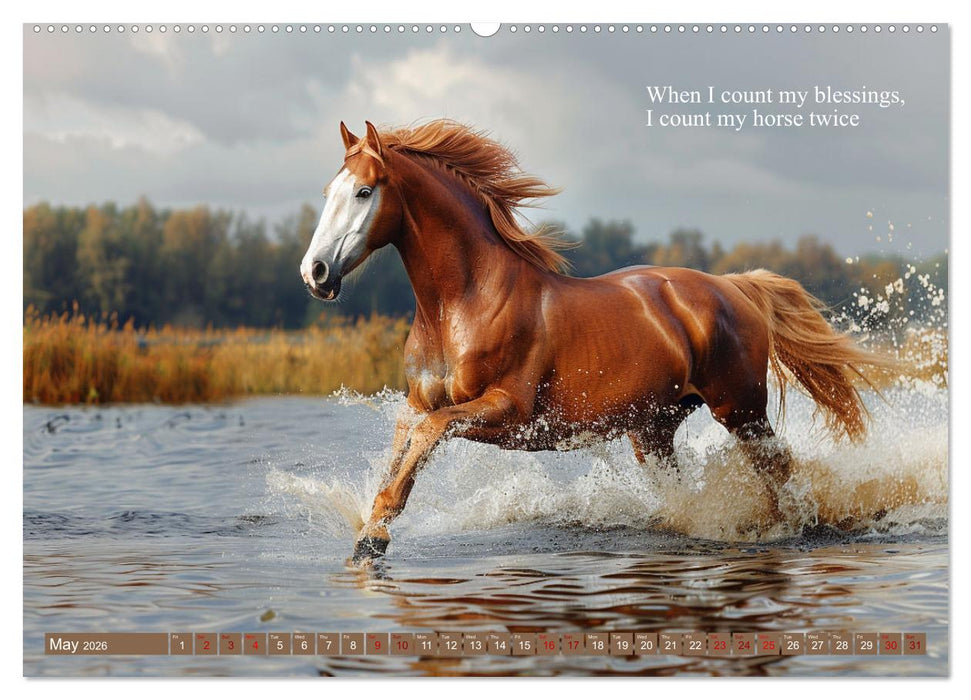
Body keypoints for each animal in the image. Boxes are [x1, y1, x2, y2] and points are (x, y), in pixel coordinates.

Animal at [299, 119, 887, 563]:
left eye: (364, 191)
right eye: (327, 192)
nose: (315, 272)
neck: (460, 305)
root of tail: (735, 285)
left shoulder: (507, 411)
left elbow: (428, 435)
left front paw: (375, 539)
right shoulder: (419, 401)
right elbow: (405, 442)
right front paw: (370, 532)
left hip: (740, 408)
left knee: (779, 466)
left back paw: (789, 526)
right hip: (653, 429)